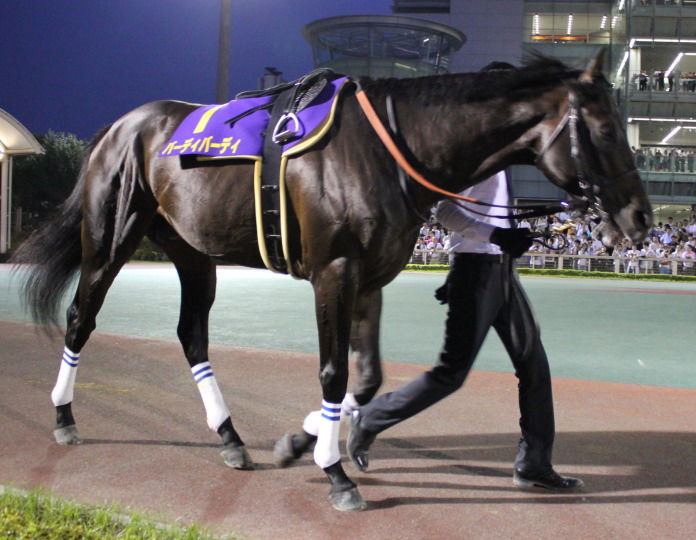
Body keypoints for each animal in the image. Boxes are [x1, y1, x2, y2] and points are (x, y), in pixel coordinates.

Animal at [11, 50, 652, 511]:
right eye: (605, 129)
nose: (641, 218)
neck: (390, 148)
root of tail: (118, 127)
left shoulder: (371, 278)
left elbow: (366, 380)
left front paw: (307, 443)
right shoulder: (334, 272)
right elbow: (334, 371)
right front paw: (336, 471)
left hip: (192, 251)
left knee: (191, 333)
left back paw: (230, 438)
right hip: (111, 237)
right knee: (81, 317)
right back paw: (64, 419)